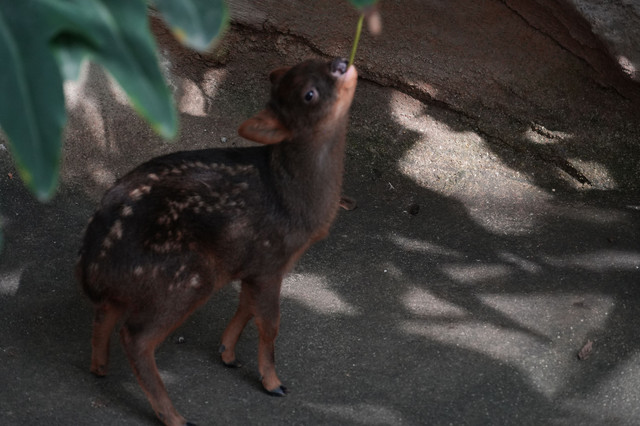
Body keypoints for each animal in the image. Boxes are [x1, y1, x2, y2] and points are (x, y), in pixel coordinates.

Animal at [75, 57, 358, 426]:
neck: (296, 198)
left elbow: (247, 306)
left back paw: (99, 367)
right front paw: (272, 382)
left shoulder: (251, 263)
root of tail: (92, 271)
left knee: (106, 312)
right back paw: (175, 416)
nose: (341, 63)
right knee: (135, 337)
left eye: (312, 61)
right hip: (187, 277)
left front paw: (227, 353)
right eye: (308, 94)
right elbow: (270, 323)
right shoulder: (271, 260)